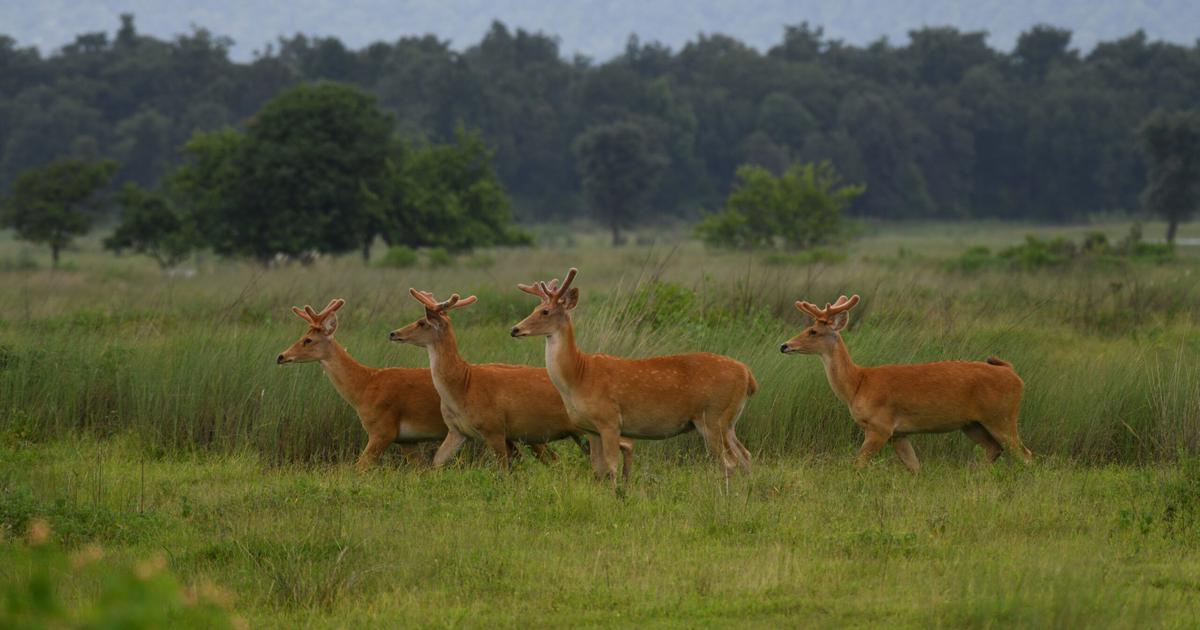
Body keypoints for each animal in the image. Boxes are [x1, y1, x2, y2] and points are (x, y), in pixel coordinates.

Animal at [276, 298, 556, 469]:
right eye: (302, 335)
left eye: (308, 340)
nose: (281, 356)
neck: (364, 385)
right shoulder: (406, 441)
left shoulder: (382, 430)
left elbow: (359, 468)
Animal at [389, 289, 632, 475]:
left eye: (422, 322)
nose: (393, 333)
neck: (464, 384)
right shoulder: (458, 431)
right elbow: (436, 462)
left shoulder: (495, 428)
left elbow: (504, 471)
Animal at [510, 268, 757, 484]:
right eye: (536, 307)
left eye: (545, 311)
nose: (515, 329)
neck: (579, 376)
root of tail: (748, 376)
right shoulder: (591, 428)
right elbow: (597, 469)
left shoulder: (609, 419)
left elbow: (610, 467)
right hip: (728, 420)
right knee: (745, 455)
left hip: (712, 416)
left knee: (730, 461)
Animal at [779, 294, 1032, 473]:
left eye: (813, 331)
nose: (784, 345)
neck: (858, 383)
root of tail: (1013, 374)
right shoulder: (899, 434)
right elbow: (914, 467)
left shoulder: (880, 426)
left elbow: (858, 464)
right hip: (973, 424)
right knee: (994, 449)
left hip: (1002, 416)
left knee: (1025, 454)